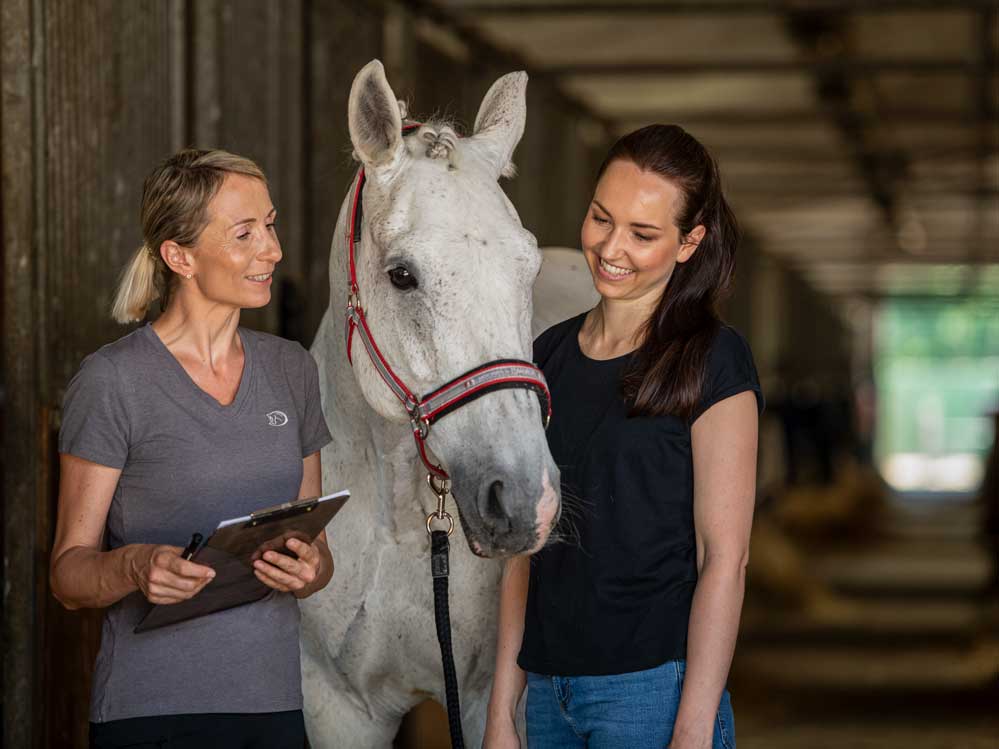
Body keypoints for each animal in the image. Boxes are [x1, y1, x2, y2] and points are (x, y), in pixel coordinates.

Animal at [298, 61, 564, 744]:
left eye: (529, 268)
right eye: (402, 275)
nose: (524, 500)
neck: (397, 523)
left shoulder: (487, 701)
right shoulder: (338, 707)